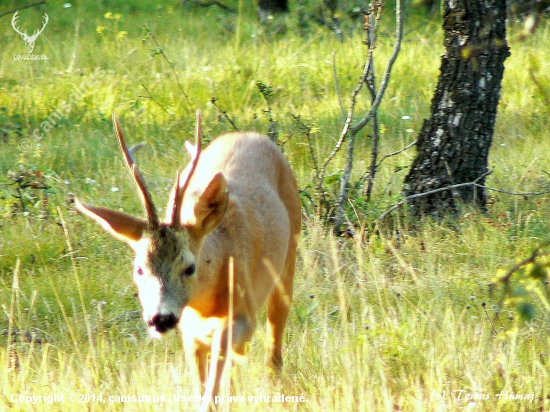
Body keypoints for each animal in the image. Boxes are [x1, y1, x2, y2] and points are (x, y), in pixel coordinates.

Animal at [75, 110, 302, 408]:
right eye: (139, 269)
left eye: (189, 267)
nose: (160, 318)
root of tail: (250, 134)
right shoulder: (189, 332)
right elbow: (204, 388)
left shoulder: (243, 312)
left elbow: (214, 386)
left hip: (289, 256)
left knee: (275, 340)